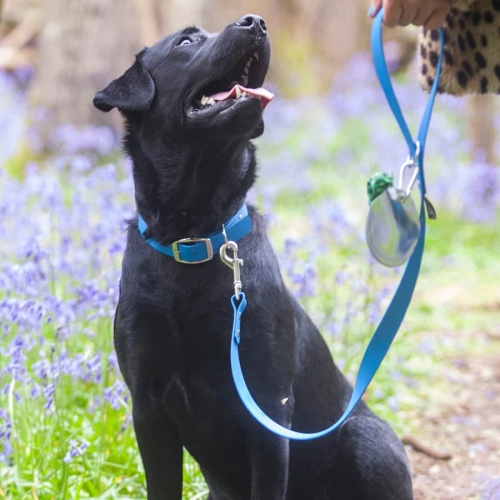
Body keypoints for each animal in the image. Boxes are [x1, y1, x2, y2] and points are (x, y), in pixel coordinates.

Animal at [94, 13, 414, 498]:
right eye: (185, 42)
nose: (256, 22)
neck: (194, 238)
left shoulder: (267, 407)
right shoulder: (147, 407)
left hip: (368, 439)